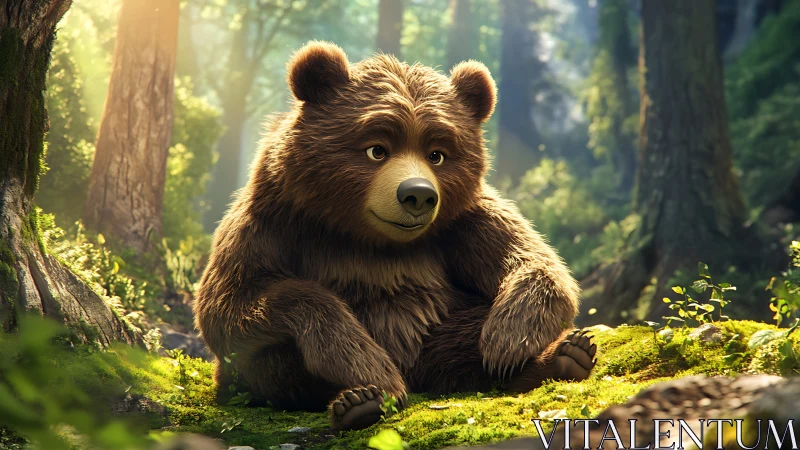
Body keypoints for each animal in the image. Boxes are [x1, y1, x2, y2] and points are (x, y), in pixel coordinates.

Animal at [194, 41, 597, 431]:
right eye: (376, 149)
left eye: (437, 154)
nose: (418, 194)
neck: (369, 239)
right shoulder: (274, 220)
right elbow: (231, 302)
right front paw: (370, 369)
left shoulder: (465, 221)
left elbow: (537, 263)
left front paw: (507, 341)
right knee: (270, 360)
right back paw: (360, 401)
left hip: (437, 324)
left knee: (465, 340)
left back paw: (566, 355)